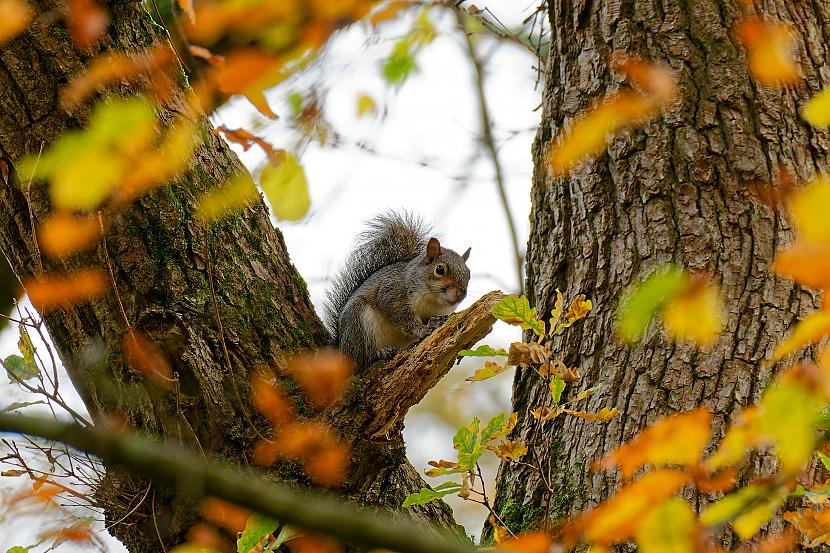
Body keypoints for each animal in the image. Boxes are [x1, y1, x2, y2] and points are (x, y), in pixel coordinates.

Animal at [324, 211, 472, 370]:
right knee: (360, 359)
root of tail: (341, 348)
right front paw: (422, 329)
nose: (460, 295)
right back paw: (379, 353)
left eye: (469, 274)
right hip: (357, 321)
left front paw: (435, 321)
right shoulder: (392, 294)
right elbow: (402, 318)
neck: (433, 300)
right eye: (439, 269)